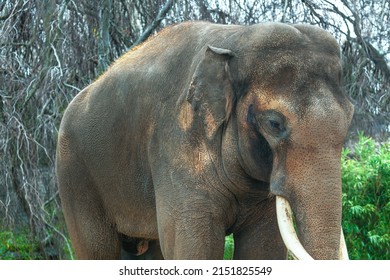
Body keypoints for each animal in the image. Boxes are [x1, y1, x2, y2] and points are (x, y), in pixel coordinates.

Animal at [57, 20, 354, 260]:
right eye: (274, 124)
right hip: (74, 174)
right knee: (96, 250)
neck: (236, 38)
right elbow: (193, 248)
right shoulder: (178, 144)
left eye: (350, 116)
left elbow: (263, 247)